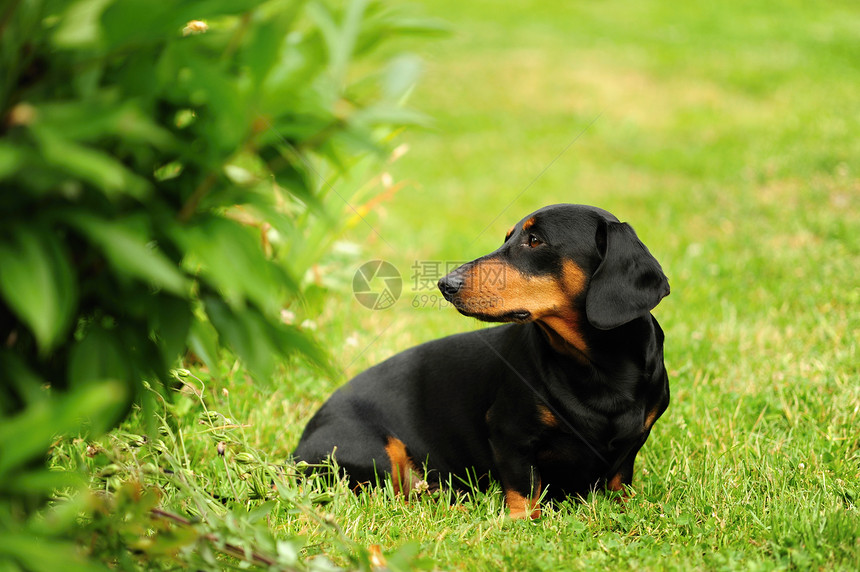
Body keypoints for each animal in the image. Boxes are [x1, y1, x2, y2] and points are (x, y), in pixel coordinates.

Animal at [296, 203, 672, 516]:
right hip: (371, 453)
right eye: (509, 237)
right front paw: (522, 522)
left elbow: (619, 480)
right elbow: (524, 491)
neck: (598, 370)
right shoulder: (509, 435)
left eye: (535, 240)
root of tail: (296, 452)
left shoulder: (631, 446)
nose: (445, 283)